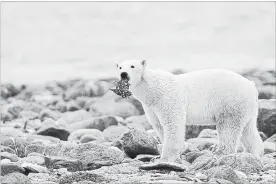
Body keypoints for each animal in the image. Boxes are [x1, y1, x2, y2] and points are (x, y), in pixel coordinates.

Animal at [115, 59, 264, 164]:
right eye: (120, 67)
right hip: (247, 107)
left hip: (230, 102)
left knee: (228, 128)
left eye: (132, 66)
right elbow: (158, 125)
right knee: (249, 129)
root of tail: (251, 85)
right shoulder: (150, 107)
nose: (123, 74)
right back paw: (253, 152)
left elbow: (172, 123)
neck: (151, 88)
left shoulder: (167, 98)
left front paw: (165, 158)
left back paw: (220, 153)